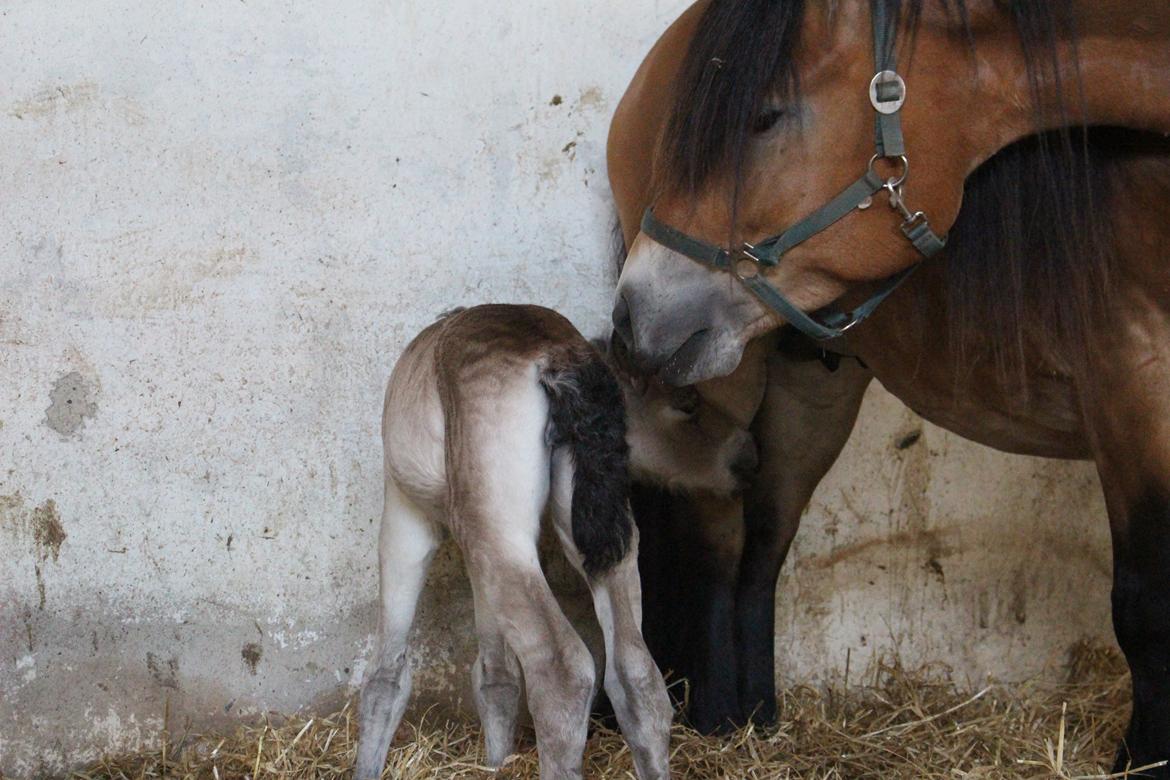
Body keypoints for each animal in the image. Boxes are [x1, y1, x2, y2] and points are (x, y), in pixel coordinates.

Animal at [351, 304, 753, 780]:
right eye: (687, 403)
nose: (749, 456)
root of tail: (561, 358)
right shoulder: (474, 543)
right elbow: (496, 675)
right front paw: (497, 764)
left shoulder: (408, 519)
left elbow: (386, 675)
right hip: (600, 542)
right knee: (637, 676)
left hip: (502, 540)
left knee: (563, 672)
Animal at [608, 0, 1170, 771]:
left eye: (766, 115)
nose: (632, 315)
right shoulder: (1127, 390)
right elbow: (1144, 610)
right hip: (724, 385)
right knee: (718, 543)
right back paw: (720, 720)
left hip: (812, 390)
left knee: (763, 550)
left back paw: (760, 717)